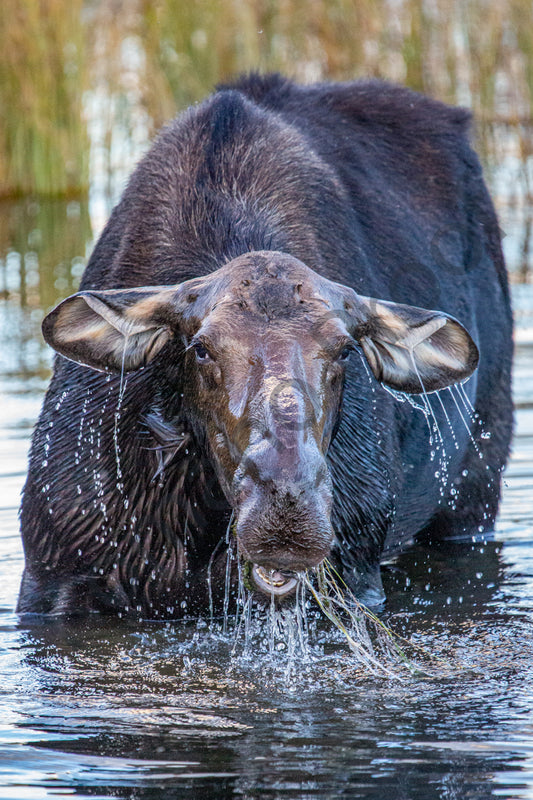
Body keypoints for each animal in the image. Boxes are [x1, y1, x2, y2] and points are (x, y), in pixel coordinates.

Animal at [19, 73, 512, 620]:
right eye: (202, 349)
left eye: (344, 350)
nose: (287, 510)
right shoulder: (53, 574)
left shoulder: (356, 571)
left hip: (475, 490)